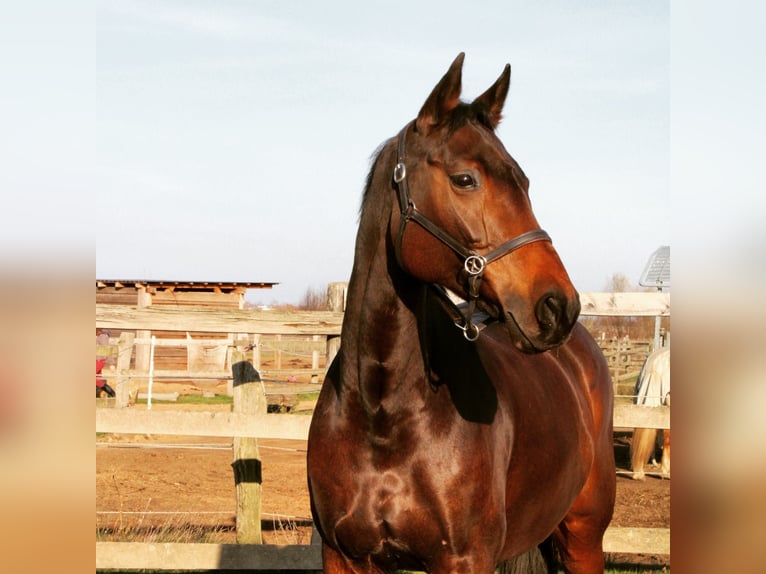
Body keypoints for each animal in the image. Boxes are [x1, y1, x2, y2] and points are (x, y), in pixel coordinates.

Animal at [307, 53, 615, 574]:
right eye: (465, 179)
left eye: (524, 182)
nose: (558, 306)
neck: (381, 412)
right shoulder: (344, 556)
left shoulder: (464, 559)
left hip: (583, 536)